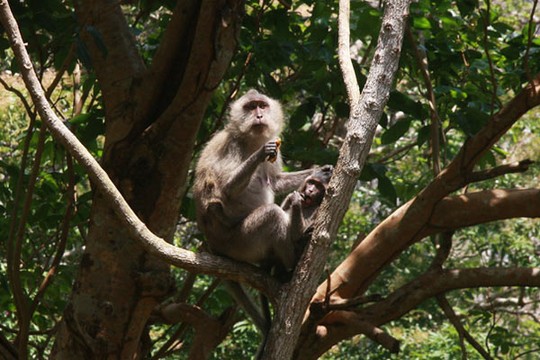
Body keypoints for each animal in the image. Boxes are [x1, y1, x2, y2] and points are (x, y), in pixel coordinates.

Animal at [194, 88, 318, 272]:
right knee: (272, 214)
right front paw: (261, 153)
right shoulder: (231, 145)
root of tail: (213, 244)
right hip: (238, 243)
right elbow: (227, 188)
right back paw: (292, 260)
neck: (250, 140)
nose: (259, 115)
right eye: (251, 107)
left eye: (262, 106)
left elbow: (275, 181)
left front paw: (322, 170)